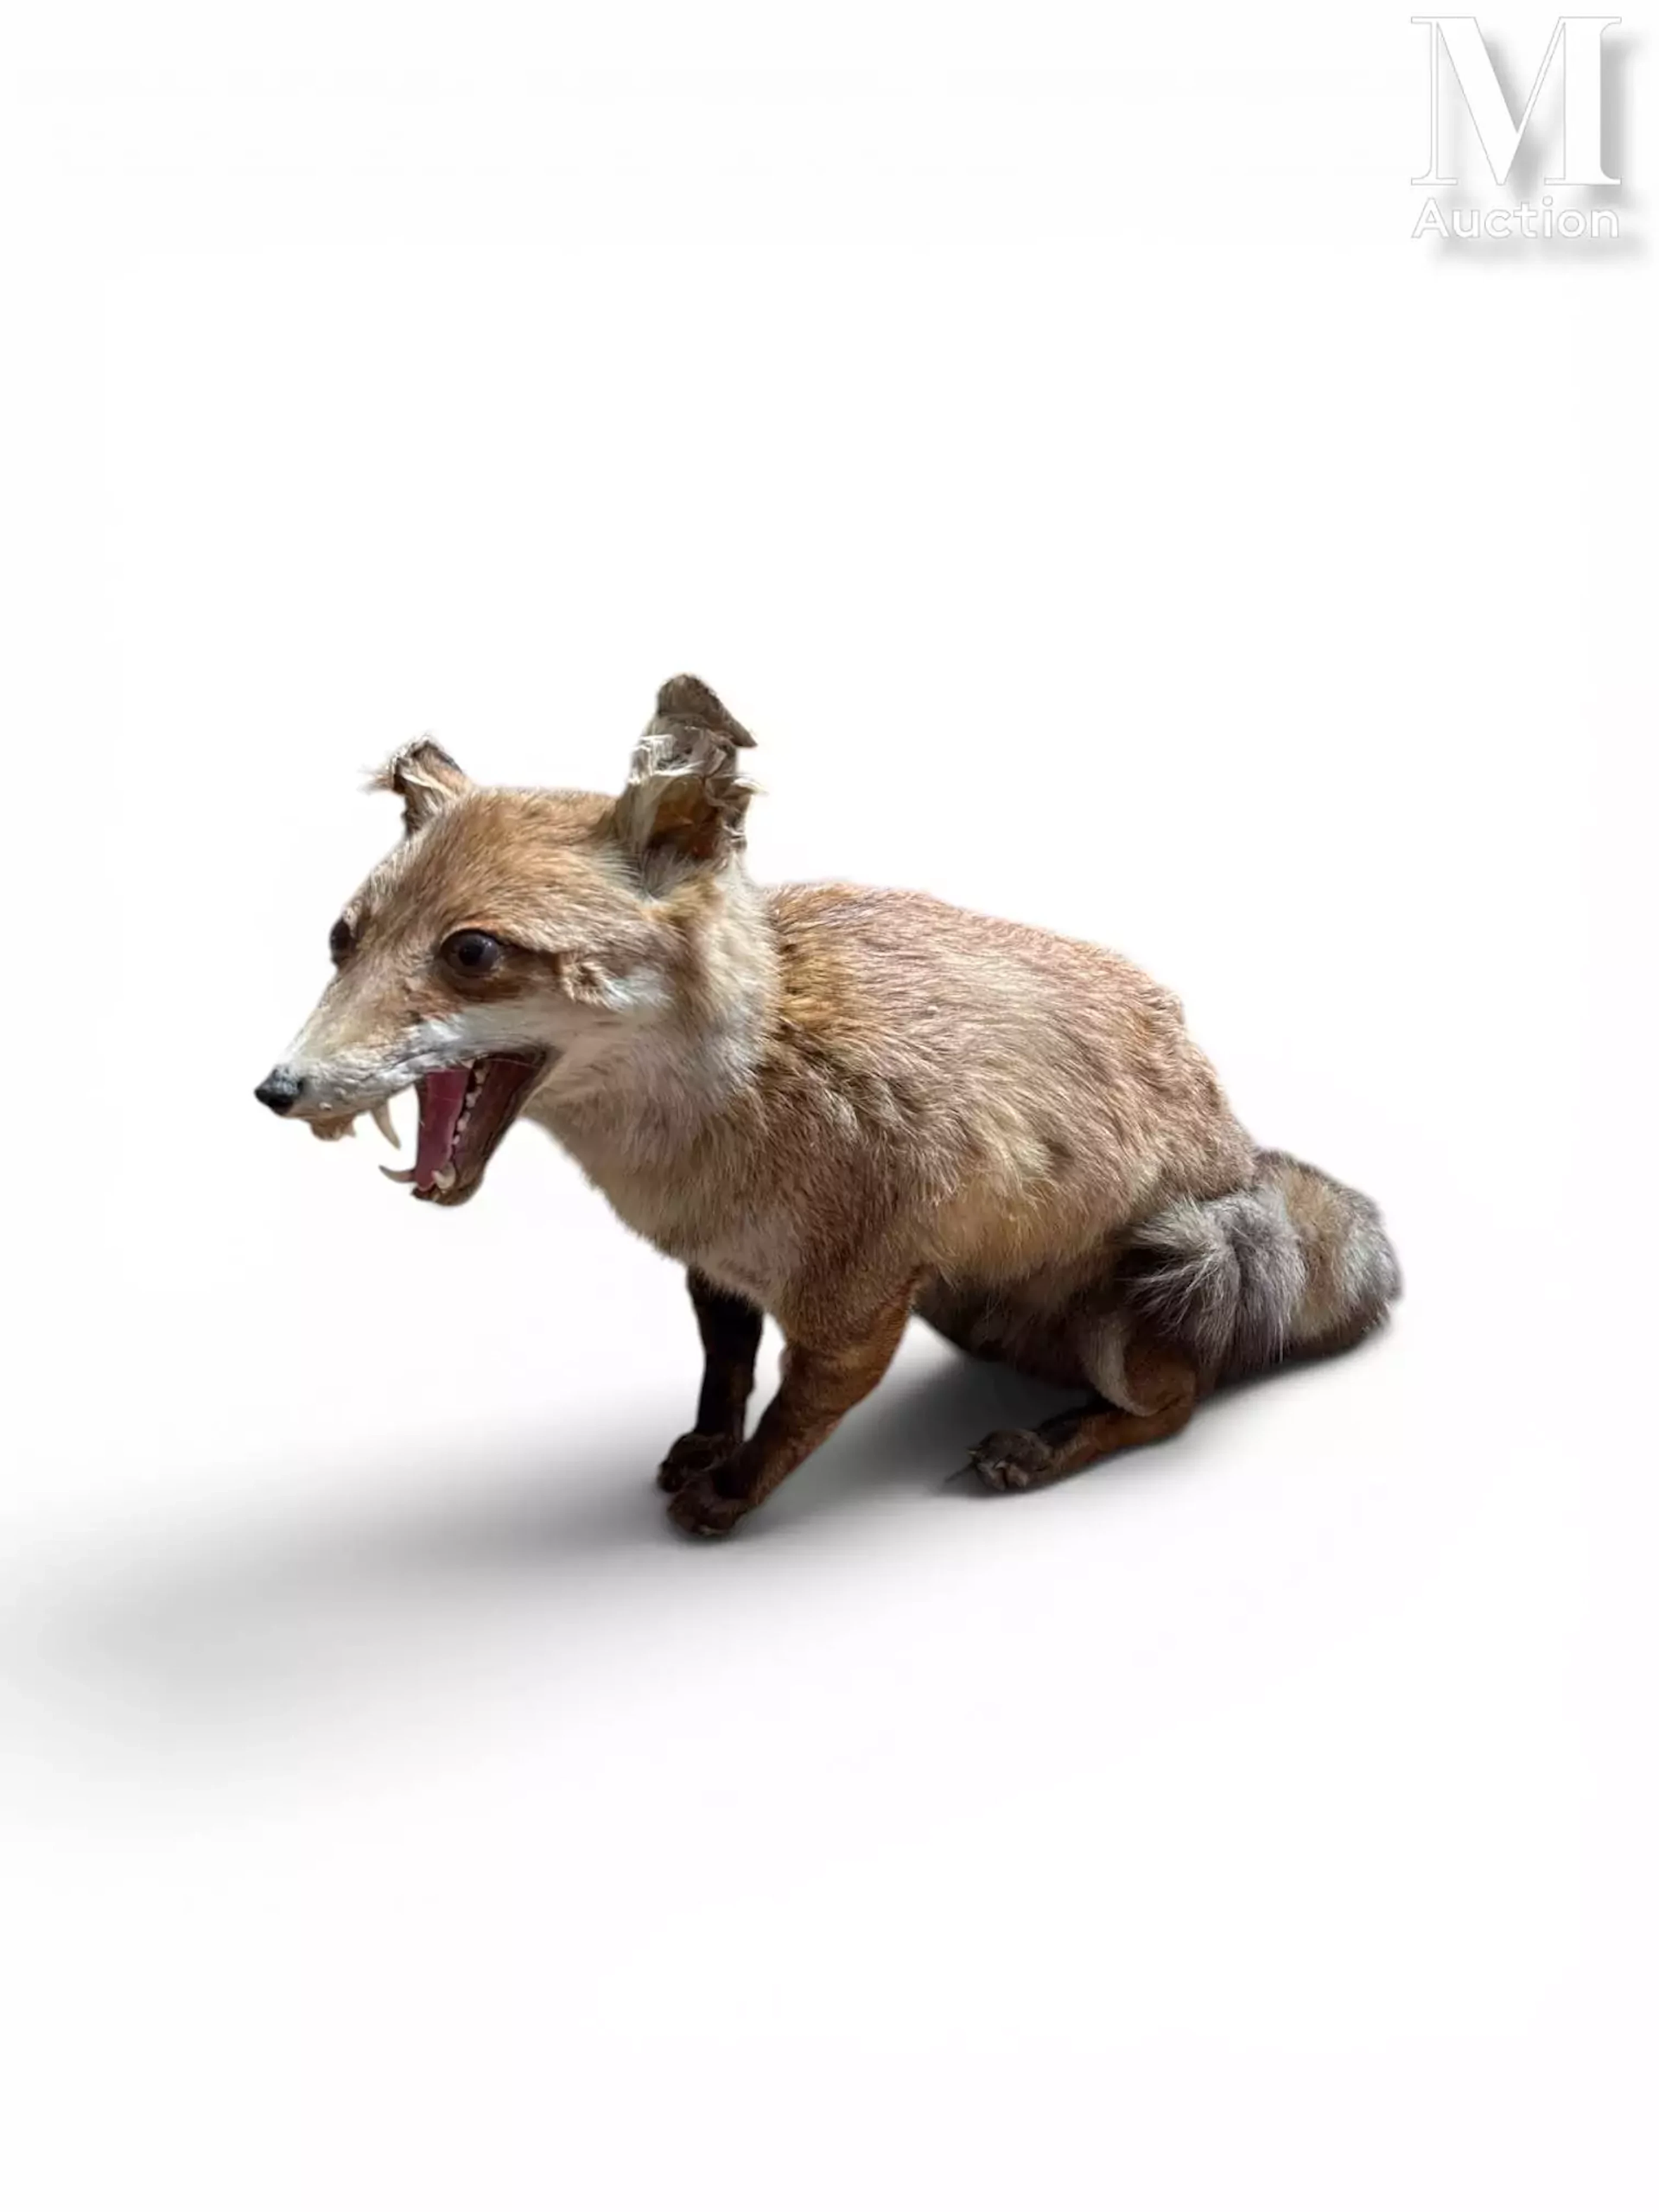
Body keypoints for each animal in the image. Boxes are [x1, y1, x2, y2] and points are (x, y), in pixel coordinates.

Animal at [256, 675, 1400, 1537]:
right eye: (342, 940)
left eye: (473, 953)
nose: (276, 1090)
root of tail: (1239, 1145)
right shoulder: (720, 1270)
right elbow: (725, 1375)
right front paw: (705, 1446)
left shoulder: (860, 1301)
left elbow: (796, 1414)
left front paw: (730, 1491)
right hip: (967, 1304)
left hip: (1144, 1293)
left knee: (1175, 1405)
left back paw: (1048, 1445)